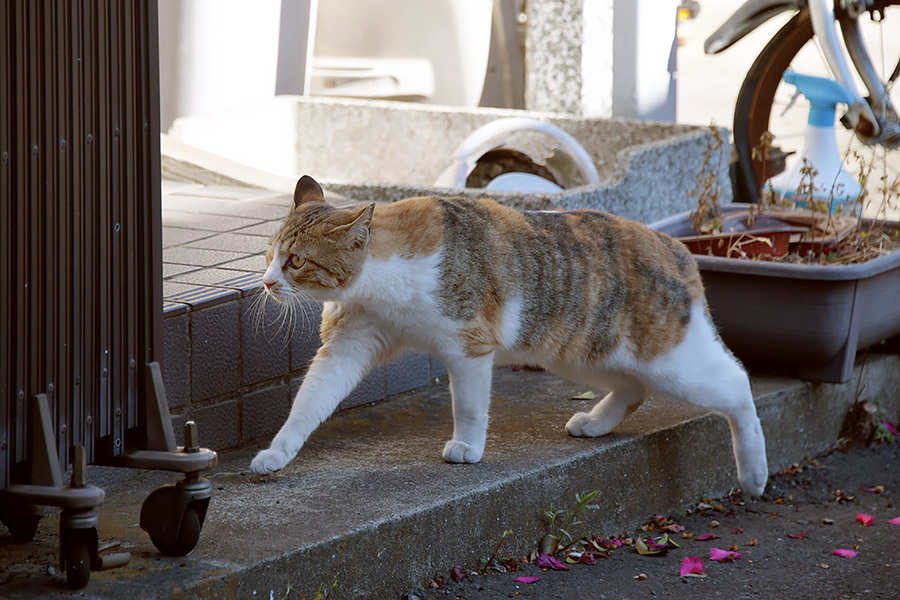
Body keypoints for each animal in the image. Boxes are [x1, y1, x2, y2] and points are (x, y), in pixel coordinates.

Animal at [250, 175, 768, 496]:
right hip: (581, 353)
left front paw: (467, 447)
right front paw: (278, 452)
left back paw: (755, 472)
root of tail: (678, 246)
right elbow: (309, 404)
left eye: (295, 261)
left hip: (671, 360)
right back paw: (596, 422)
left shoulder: (469, 348)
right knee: (633, 388)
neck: (380, 279)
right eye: (270, 255)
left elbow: (469, 405)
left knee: (736, 383)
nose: (267, 283)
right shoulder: (350, 343)